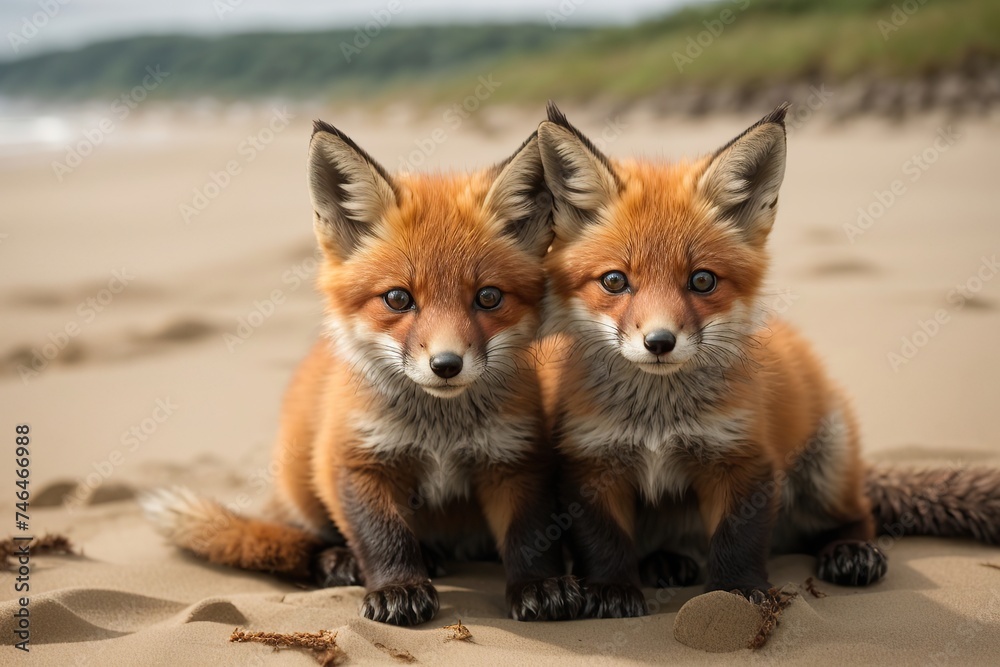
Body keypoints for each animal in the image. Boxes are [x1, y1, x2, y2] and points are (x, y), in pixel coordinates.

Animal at [143, 120, 586, 626]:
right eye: (398, 298)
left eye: (488, 297)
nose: (446, 365)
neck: (441, 434)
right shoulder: (353, 460)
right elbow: (383, 535)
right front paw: (398, 587)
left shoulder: (514, 458)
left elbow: (529, 534)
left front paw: (538, 585)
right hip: (300, 479)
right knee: (311, 542)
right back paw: (345, 561)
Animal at [536, 102, 1000, 618]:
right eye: (615, 281)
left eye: (702, 281)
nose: (659, 342)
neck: (658, 421)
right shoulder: (592, 463)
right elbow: (604, 540)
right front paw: (612, 589)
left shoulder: (745, 457)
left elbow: (737, 540)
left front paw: (735, 594)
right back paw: (665, 562)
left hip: (826, 468)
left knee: (858, 515)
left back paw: (851, 550)